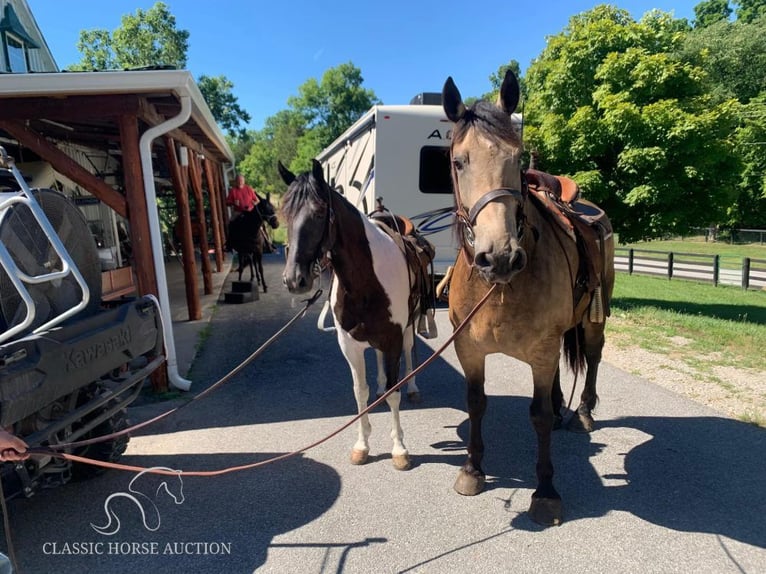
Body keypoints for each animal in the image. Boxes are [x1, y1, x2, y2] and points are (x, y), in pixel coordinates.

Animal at [278, 159, 436, 472]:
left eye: (318, 213)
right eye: (284, 215)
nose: (294, 280)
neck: (366, 280)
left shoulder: (392, 339)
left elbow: (394, 392)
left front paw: (399, 449)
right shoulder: (349, 345)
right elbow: (359, 392)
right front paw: (362, 446)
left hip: (408, 328)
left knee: (410, 353)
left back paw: (412, 387)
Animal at [444, 71, 616, 528]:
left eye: (518, 158)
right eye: (458, 161)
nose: (500, 256)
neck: (502, 289)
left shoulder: (541, 348)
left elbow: (535, 417)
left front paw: (546, 492)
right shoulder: (469, 349)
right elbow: (476, 403)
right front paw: (473, 470)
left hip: (593, 319)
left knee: (593, 356)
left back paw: (582, 413)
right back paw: (560, 408)